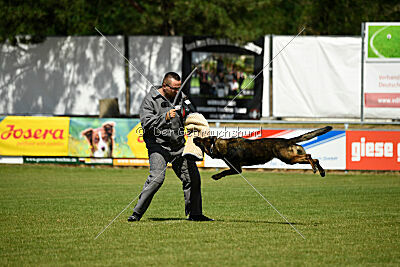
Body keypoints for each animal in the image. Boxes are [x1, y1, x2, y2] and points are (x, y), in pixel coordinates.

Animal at [193, 126, 332, 181]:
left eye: (202, 139)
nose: (194, 138)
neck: (219, 145)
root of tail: (288, 140)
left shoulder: (236, 169)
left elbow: (224, 172)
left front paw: (216, 176)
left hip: (289, 159)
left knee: (309, 156)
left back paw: (315, 169)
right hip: (292, 159)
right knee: (315, 159)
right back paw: (321, 171)